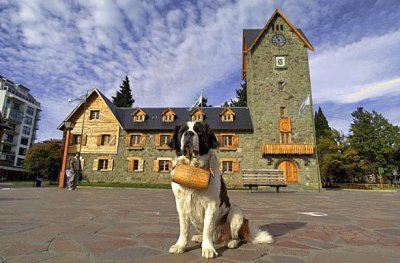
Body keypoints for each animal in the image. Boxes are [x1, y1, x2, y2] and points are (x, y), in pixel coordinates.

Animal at [167, 122, 274, 260]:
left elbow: (208, 228)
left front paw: (208, 249)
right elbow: (184, 228)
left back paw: (231, 242)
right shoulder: (181, 205)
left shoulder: (211, 205)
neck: (192, 167)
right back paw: (199, 237)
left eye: (199, 131)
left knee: (238, 237)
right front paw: (180, 246)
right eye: (182, 131)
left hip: (236, 213)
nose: (189, 133)